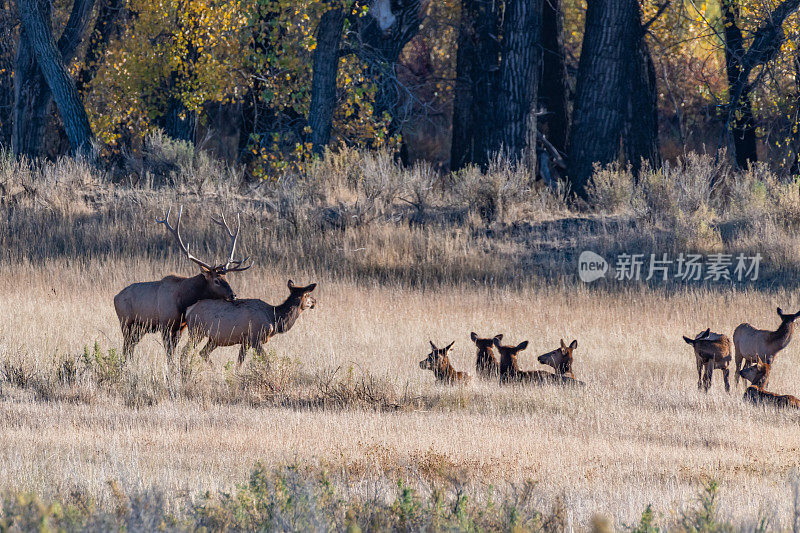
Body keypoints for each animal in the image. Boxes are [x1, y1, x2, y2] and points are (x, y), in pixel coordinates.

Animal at [112, 206, 250, 364]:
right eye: (216, 280)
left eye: (226, 277)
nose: (233, 295)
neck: (184, 301)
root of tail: (115, 297)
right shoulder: (165, 324)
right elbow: (169, 353)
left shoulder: (181, 327)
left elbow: (173, 352)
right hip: (126, 322)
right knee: (126, 347)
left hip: (139, 328)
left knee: (130, 347)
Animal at [183, 278, 318, 370]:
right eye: (307, 295)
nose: (314, 301)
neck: (274, 319)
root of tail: (189, 310)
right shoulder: (255, 339)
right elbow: (266, 362)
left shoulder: (245, 341)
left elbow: (239, 363)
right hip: (196, 331)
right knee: (185, 351)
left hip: (214, 339)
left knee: (203, 352)